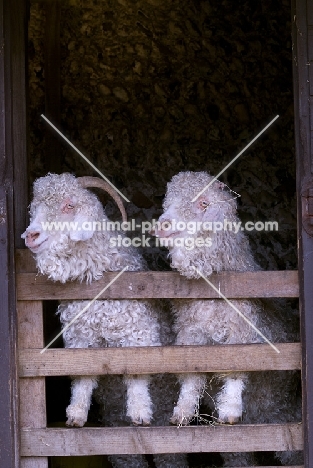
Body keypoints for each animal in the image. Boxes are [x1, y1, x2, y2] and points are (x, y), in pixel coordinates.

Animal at [22, 173, 188, 468]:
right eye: (35, 208)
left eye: (69, 205)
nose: (31, 235)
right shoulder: (81, 338)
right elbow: (82, 376)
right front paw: (76, 415)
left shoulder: (138, 332)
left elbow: (137, 372)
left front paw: (140, 413)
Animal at [152, 172, 302, 468]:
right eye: (168, 200)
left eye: (204, 203)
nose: (163, 224)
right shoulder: (192, 334)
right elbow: (191, 375)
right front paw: (183, 411)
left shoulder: (241, 330)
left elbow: (236, 367)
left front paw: (230, 410)